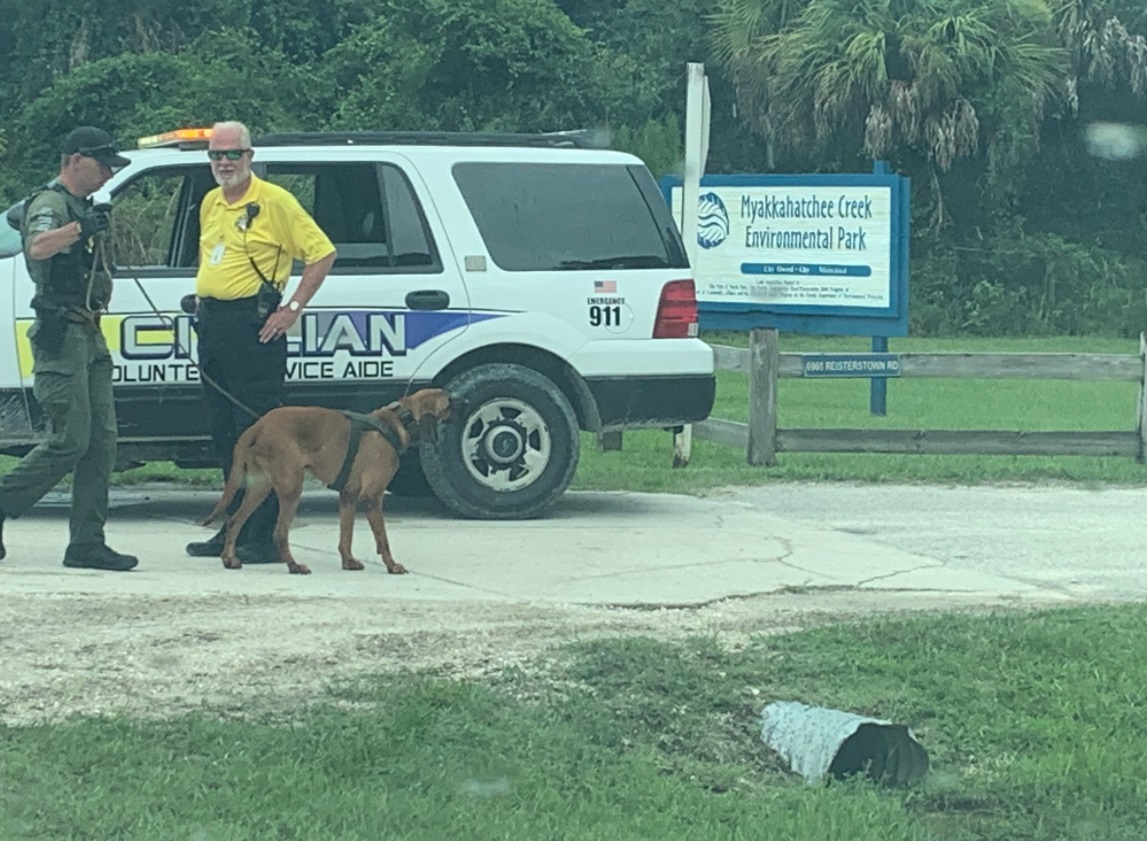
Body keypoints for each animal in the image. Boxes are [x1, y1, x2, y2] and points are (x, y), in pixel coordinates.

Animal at [201, 387, 456, 573]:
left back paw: (229, 559)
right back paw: (294, 566)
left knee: (234, 521)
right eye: (449, 401)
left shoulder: (348, 496)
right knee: (279, 533)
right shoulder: (372, 497)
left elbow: (346, 535)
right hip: (292, 488)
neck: (398, 419)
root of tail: (258, 425)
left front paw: (348, 562)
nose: (462, 399)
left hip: (260, 488)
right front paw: (392, 566)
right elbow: (383, 539)